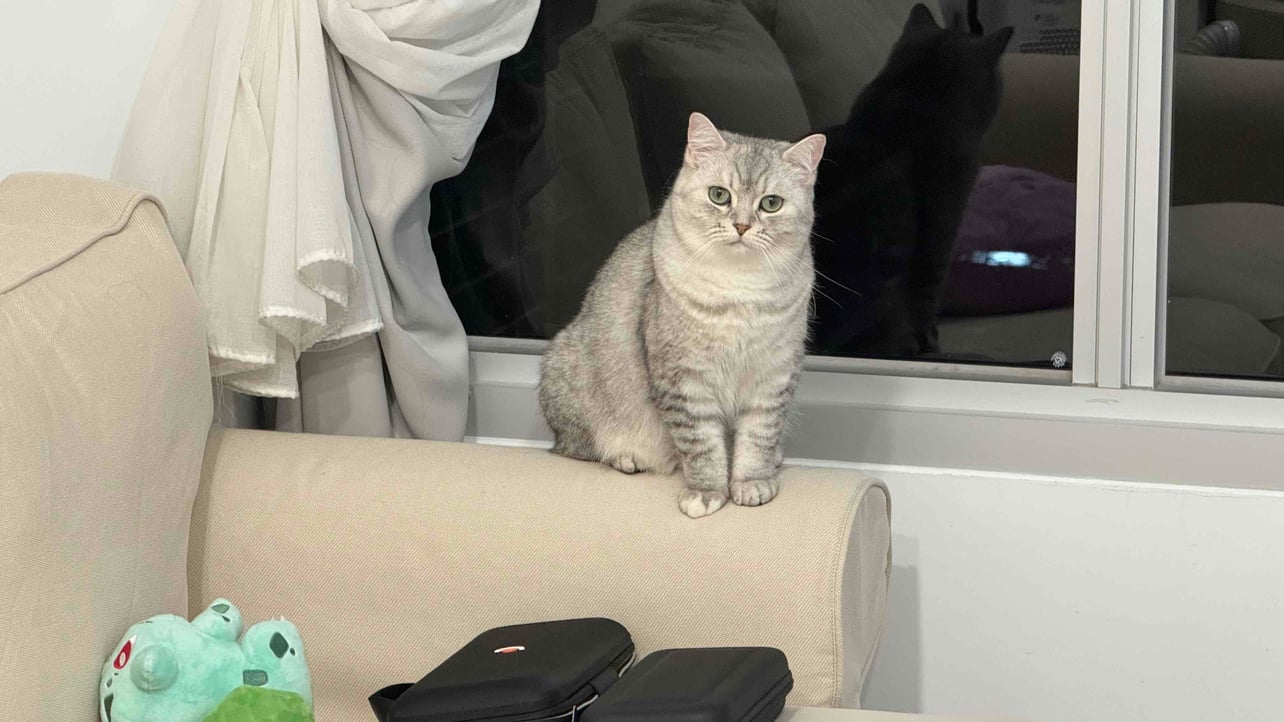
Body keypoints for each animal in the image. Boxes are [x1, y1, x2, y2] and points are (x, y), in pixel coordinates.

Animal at [539, 112, 826, 519]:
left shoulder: (774, 375)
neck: (740, 289)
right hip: (568, 376)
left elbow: (759, 436)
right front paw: (706, 491)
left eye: (771, 203)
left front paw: (753, 482)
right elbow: (701, 443)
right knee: (578, 449)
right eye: (719, 195)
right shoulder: (684, 379)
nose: (742, 225)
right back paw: (627, 457)